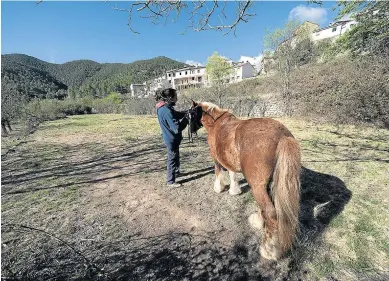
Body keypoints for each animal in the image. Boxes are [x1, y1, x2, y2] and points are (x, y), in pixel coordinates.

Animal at [188, 100, 300, 258]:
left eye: (190, 113)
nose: (191, 131)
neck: (217, 124)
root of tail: (282, 136)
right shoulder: (228, 160)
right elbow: (232, 173)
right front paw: (234, 190)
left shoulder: (216, 158)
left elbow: (218, 172)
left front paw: (219, 188)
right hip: (268, 184)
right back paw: (258, 221)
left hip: (257, 186)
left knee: (270, 213)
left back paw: (269, 250)